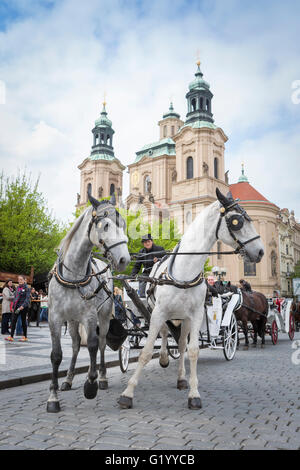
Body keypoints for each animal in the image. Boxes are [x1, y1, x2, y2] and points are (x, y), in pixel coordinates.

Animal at [46, 193, 129, 414]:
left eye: (124, 224)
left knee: (100, 344)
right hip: (72, 321)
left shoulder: (90, 316)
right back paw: (68, 379)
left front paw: (91, 383)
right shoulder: (54, 318)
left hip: (104, 316)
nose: (124, 259)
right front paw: (53, 396)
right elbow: (56, 355)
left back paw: (102, 377)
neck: (73, 275)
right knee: (75, 345)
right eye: (106, 225)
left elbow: (92, 345)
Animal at [118, 189, 264, 410]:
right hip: (160, 313)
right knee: (165, 335)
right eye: (237, 221)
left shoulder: (194, 316)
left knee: (180, 344)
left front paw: (194, 394)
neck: (184, 271)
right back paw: (163, 358)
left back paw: (180, 377)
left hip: (184, 319)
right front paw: (128, 393)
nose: (260, 251)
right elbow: (146, 351)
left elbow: (193, 350)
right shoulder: (158, 313)